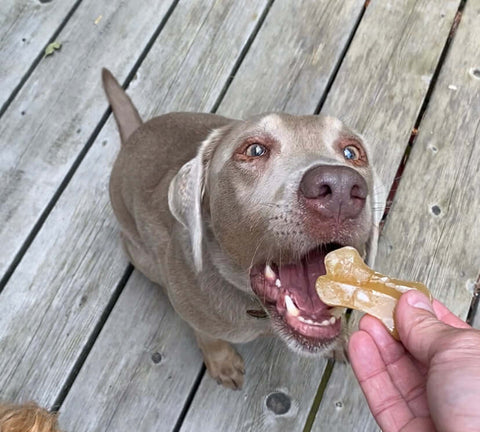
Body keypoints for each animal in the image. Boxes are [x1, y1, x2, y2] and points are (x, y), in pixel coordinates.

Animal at [102, 69, 386, 390]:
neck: (259, 311)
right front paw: (223, 363)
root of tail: (134, 134)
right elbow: (208, 337)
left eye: (352, 152)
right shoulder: (195, 314)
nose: (340, 188)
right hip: (141, 256)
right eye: (254, 149)